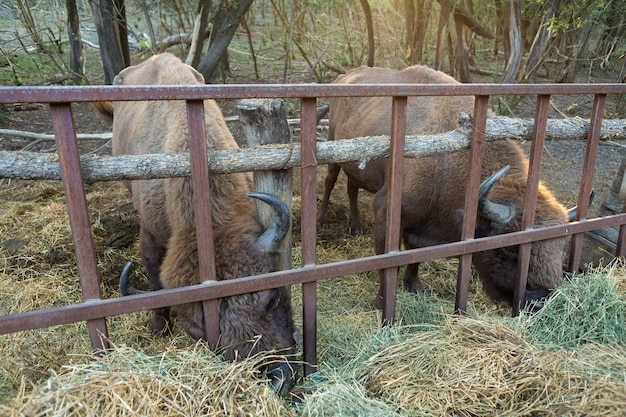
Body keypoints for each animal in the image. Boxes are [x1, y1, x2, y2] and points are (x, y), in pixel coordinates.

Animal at [98, 52, 298, 394]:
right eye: (198, 331)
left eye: (272, 297)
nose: (272, 376)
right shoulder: (151, 233)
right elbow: (154, 279)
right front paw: (159, 327)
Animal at [320, 66, 572, 308]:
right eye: (508, 249)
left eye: (561, 247)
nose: (538, 300)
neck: (451, 163)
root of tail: (344, 76)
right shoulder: (386, 211)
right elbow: (389, 263)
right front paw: (381, 303)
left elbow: (415, 254)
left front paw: (414, 286)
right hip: (334, 149)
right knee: (330, 181)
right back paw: (323, 221)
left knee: (352, 187)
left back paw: (355, 225)